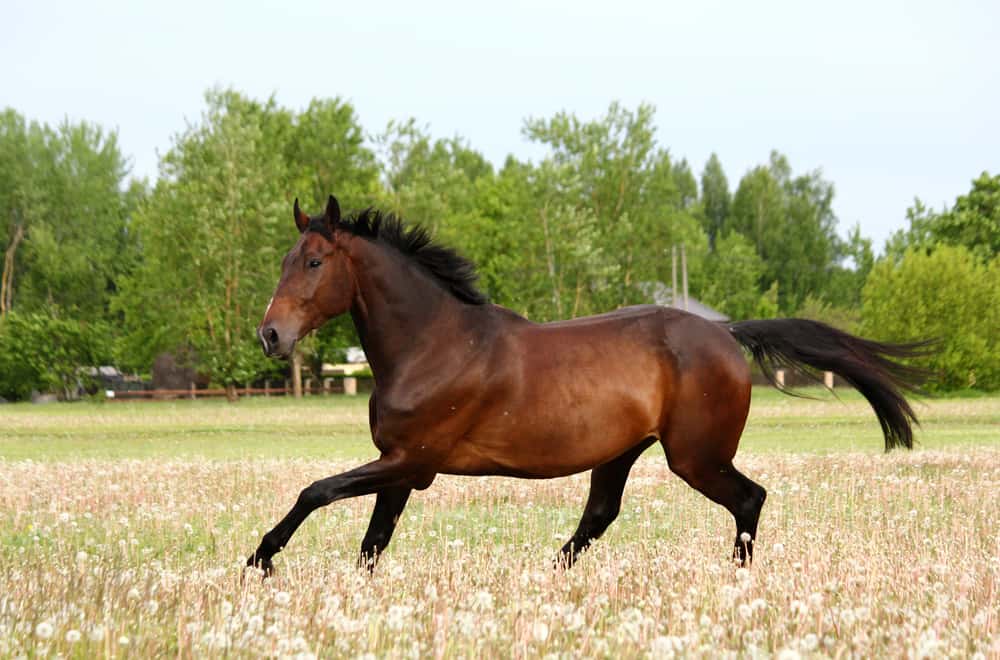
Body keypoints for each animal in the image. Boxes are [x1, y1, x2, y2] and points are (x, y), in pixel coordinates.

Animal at [247, 195, 926, 576]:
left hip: (696, 455)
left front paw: (260, 559)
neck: (433, 345)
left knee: (749, 499)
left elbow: (316, 492)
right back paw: (548, 578)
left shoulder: (413, 462)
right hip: (621, 452)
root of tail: (725, 331)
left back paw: (739, 578)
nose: (271, 336)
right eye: (282, 261)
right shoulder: (400, 466)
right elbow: (372, 542)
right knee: (600, 515)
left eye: (314, 262)